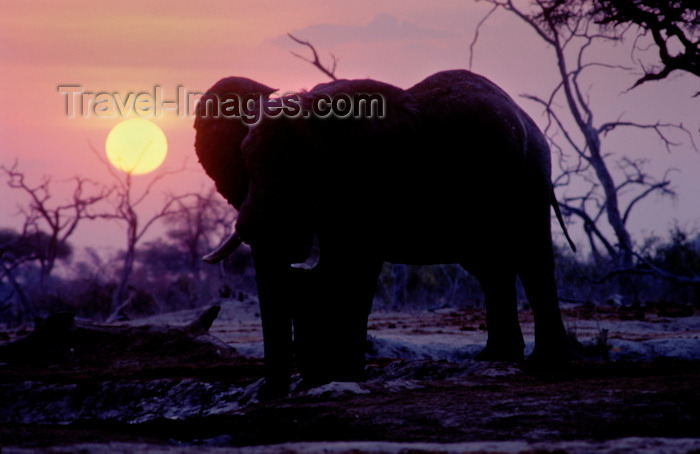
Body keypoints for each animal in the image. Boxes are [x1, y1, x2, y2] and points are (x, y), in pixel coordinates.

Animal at [194, 70, 576, 398]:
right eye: (245, 160)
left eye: (308, 168)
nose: (271, 393)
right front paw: (328, 376)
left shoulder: (372, 182)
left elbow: (355, 267)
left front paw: (342, 376)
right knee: (491, 267)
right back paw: (495, 359)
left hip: (530, 173)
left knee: (532, 257)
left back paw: (544, 362)